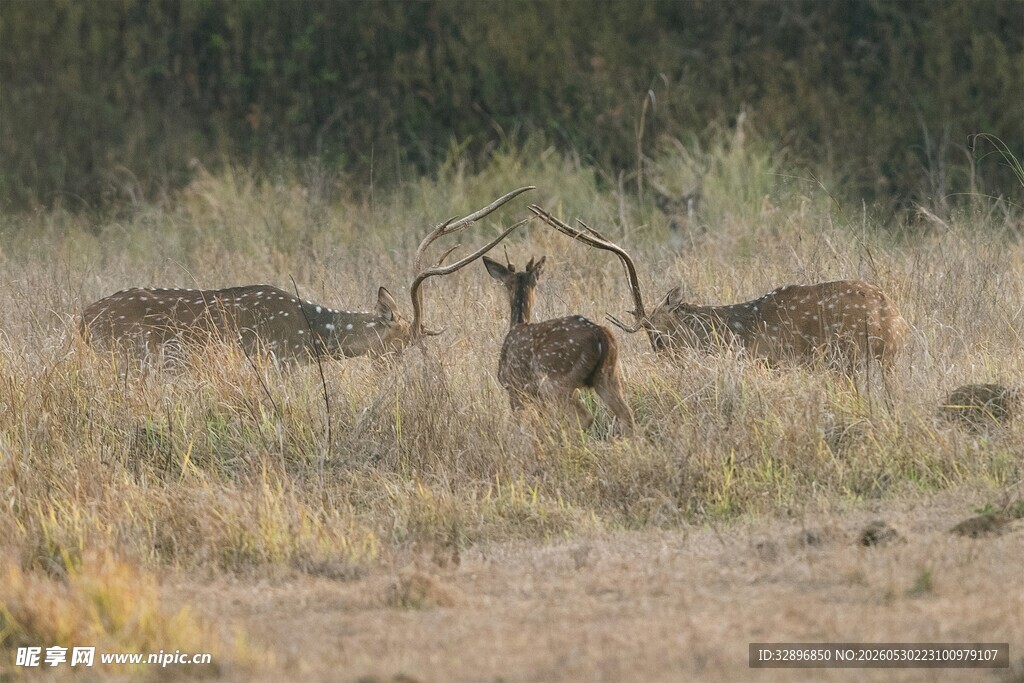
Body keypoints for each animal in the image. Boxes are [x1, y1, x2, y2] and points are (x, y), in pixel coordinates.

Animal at [80, 187, 534, 364]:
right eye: (405, 344)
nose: (424, 371)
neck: (312, 334)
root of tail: (81, 321)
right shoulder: (275, 357)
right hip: (130, 355)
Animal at [483, 253, 636, 436]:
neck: (516, 325)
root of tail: (600, 334)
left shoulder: (514, 387)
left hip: (556, 381)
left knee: (585, 417)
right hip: (607, 375)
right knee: (627, 414)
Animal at [528, 205, 909, 380]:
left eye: (659, 336)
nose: (666, 361)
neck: (730, 332)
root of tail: (892, 317)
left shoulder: (771, 362)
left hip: (853, 356)